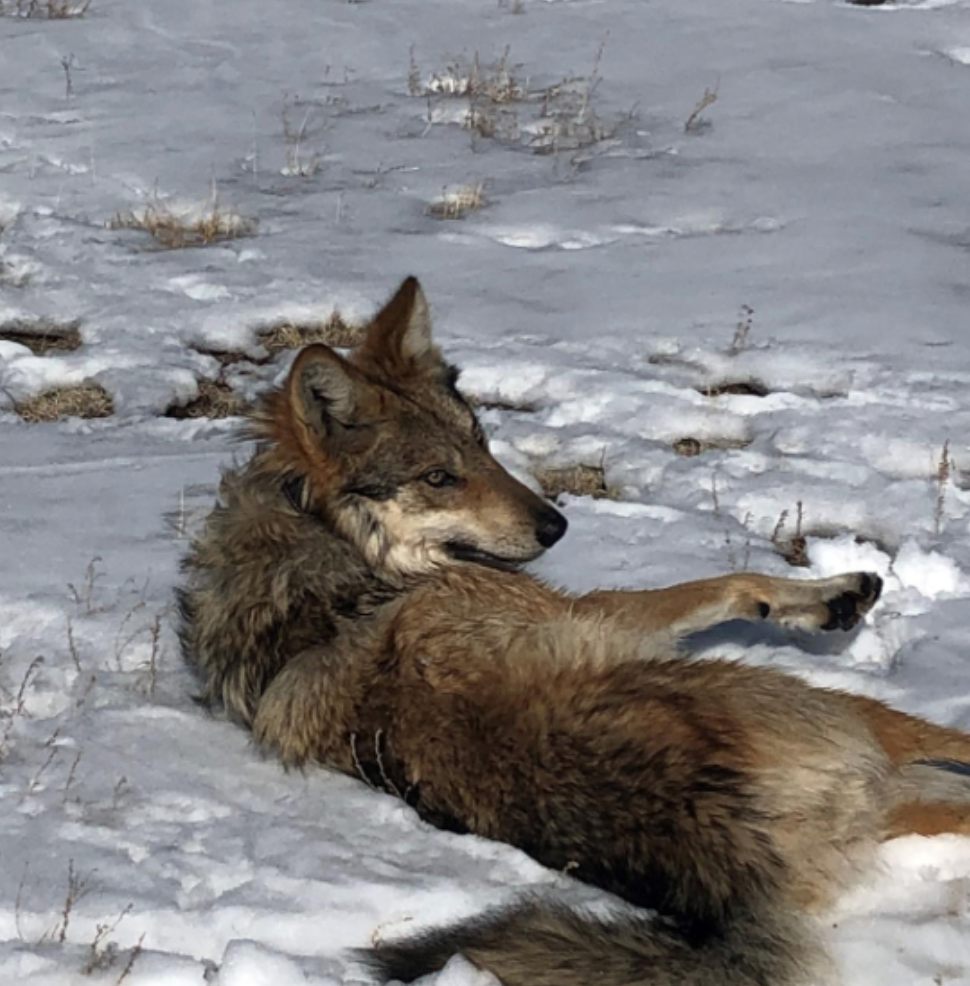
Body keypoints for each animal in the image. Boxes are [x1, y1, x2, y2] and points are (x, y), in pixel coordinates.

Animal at [178, 276, 968, 984]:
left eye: (481, 443)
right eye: (438, 478)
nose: (557, 525)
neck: (323, 535)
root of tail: (716, 852)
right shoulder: (599, 610)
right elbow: (725, 584)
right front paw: (834, 596)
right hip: (822, 705)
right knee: (944, 742)